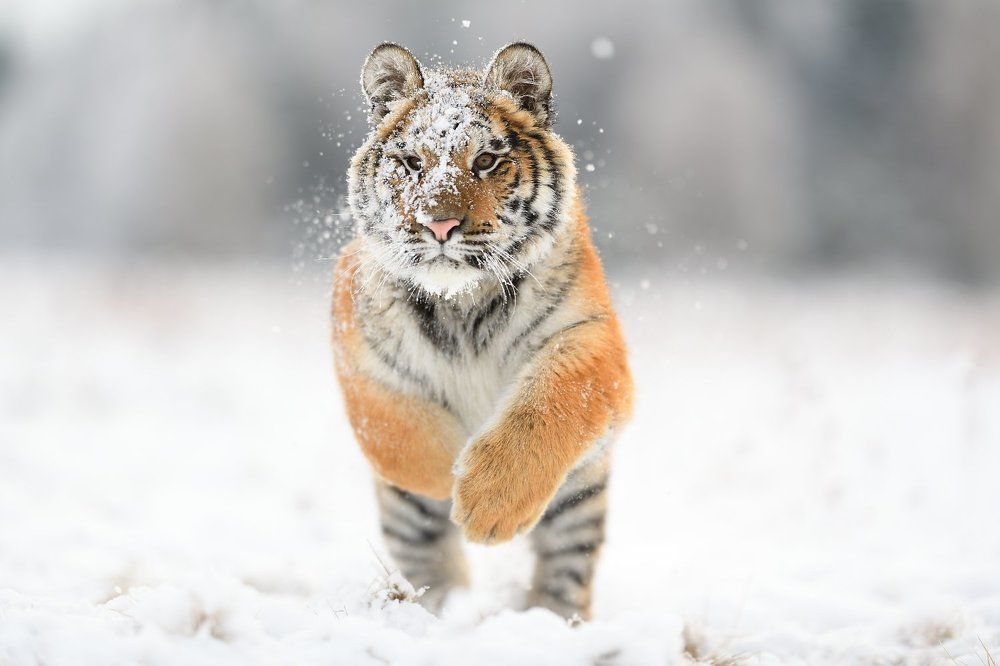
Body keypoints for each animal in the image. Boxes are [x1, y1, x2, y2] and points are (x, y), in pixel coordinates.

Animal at [331, 42, 633, 620]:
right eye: (412, 163)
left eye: (486, 161)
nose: (439, 224)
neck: (462, 302)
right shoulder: (359, 352)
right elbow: (397, 427)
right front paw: (444, 476)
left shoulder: (588, 337)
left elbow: (547, 406)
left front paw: (487, 503)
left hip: (578, 504)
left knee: (564, 575)